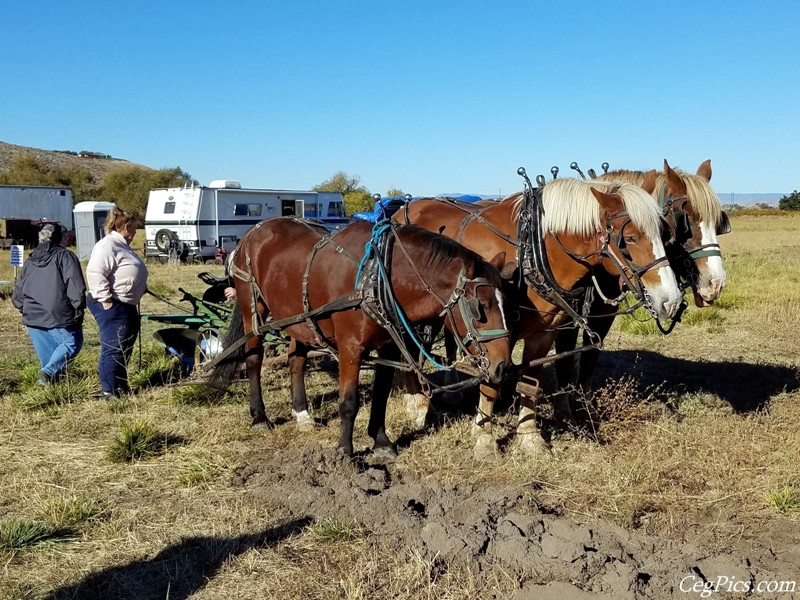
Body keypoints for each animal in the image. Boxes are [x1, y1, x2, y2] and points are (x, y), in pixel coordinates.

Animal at [209, 218, 510, 458]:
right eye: (480, 308)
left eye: (504, 302)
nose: (502, 365)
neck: (378, 277)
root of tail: (251, 234)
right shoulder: (350, 348)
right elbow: (348, 401)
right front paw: (345, 450)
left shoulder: (389, 347)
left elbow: (380, 395)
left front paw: (381, 442)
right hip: (253, 310)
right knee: (253, 360)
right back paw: (260, 417)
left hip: (299, 320)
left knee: (296, 360)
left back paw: (302, 414)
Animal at [398, 175, 680, 460]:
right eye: (629, 239)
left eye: (664, 235)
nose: (671, 300)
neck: (532, 252)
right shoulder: (494, 333)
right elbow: (491, 384)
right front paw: (484, 439)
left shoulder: (543, 333)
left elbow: (530, 381)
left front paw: (529, 437)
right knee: (407, 351)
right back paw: (417, 404)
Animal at [552, 159, 728, 412]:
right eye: (686, 221)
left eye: (718, 223)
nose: (716, 283)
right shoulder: (566, 317)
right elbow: (564, 361)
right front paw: (564, 409)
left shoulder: (604, 315)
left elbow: (590, 358)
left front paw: (585, 405)